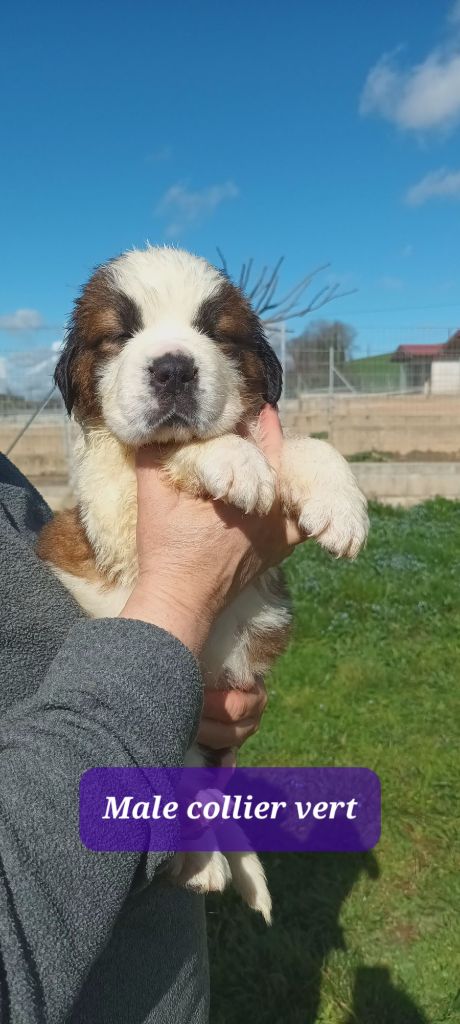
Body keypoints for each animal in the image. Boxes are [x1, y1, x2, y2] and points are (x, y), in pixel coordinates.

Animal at [39, 245, 368, 921]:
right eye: (122, 335)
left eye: (214, 334)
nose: (172, 370)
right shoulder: (113, 502)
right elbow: (167, 450)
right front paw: (231, 459)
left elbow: (301, 443)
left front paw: (341, 503)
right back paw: (203, 864)